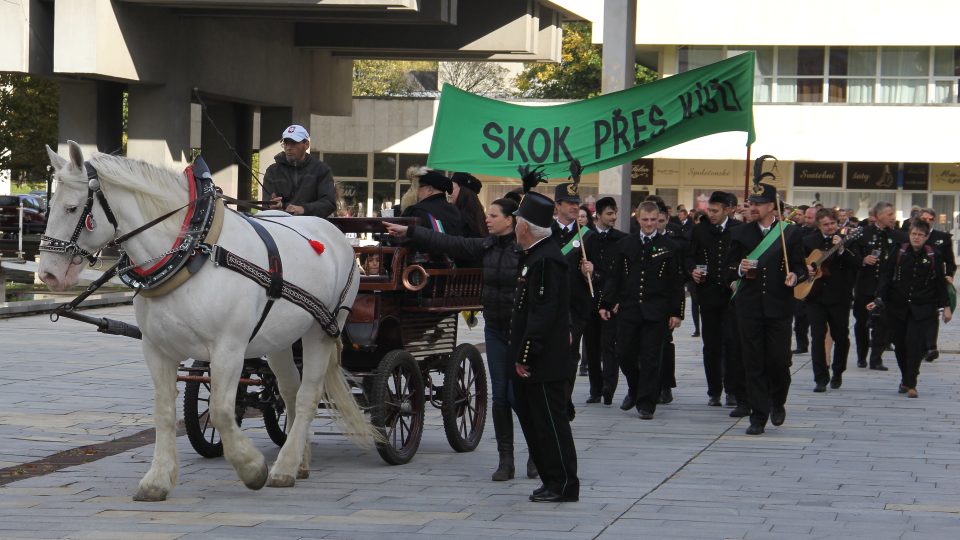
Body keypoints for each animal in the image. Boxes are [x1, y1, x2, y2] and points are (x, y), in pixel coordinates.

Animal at [38, 140, 376, 502]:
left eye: (73, 208)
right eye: (49, 206)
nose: (48, 274)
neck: (191, 250)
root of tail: (335, 233)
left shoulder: (228, 348)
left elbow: (221, 411)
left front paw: (251, 468)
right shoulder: (156, 348)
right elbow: (164, 411)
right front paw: (157, 480)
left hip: (322, 329)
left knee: (308, 395)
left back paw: (284, 467)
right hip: (280, 339)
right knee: (289, 391)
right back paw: (298, 461)